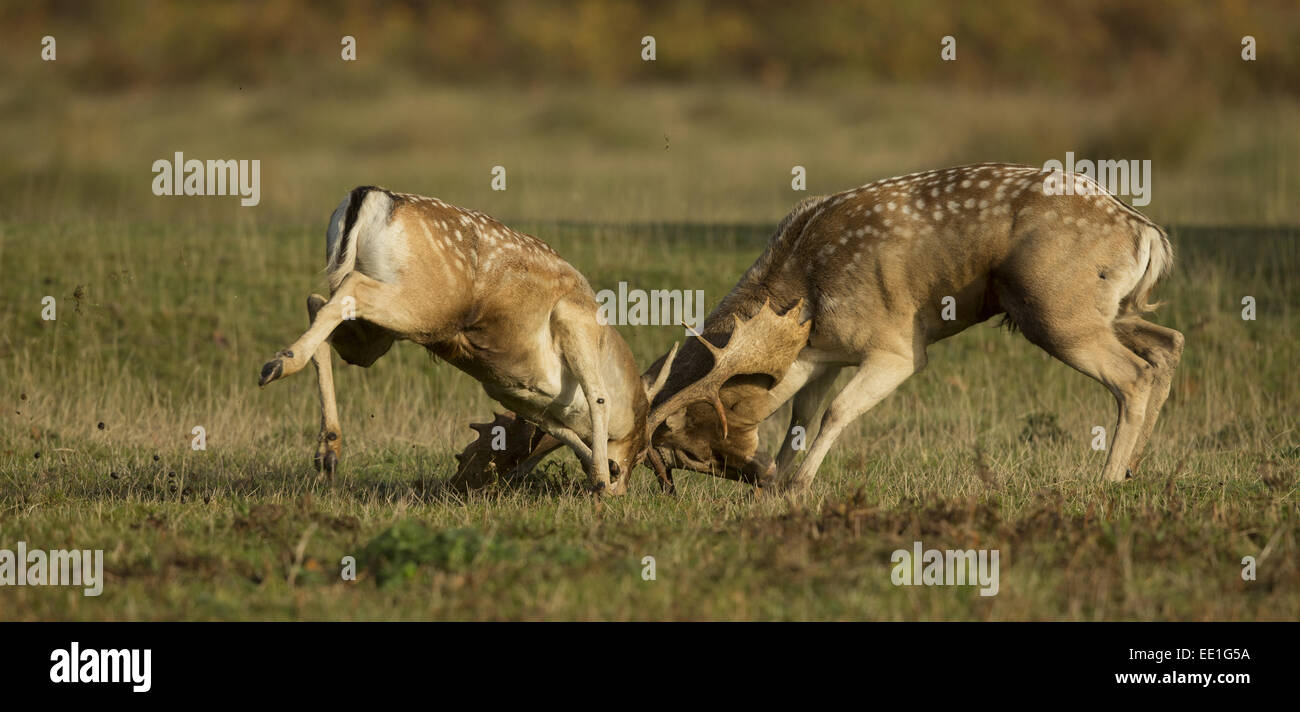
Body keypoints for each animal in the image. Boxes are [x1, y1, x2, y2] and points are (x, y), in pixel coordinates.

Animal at [258, 185, 650, 491]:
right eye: (644, 443)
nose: (620, 480)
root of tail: (369, 197)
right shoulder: (573, 321)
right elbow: (598, 398)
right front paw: (600, 478)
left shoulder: (508, 390)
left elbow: (557, 428)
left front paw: (595, 471)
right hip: (422, 309)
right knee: (350, 289)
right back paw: (277, 367)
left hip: (375, 333)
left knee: (318, 301)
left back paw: (327, 452)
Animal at [457, 163, 1180, 491]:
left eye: (682, 451)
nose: (747, 479)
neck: (803, 290)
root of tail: (1148, 233)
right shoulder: (821, 354)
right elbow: (801, 413)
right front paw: (784, 478)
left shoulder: (895, 345)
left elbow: (834, 413)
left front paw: (799, 485)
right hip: (1114, 310)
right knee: (1167, 346)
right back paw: (1132, 469)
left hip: (1057, 309)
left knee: (1135, 373)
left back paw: (1106, 480)